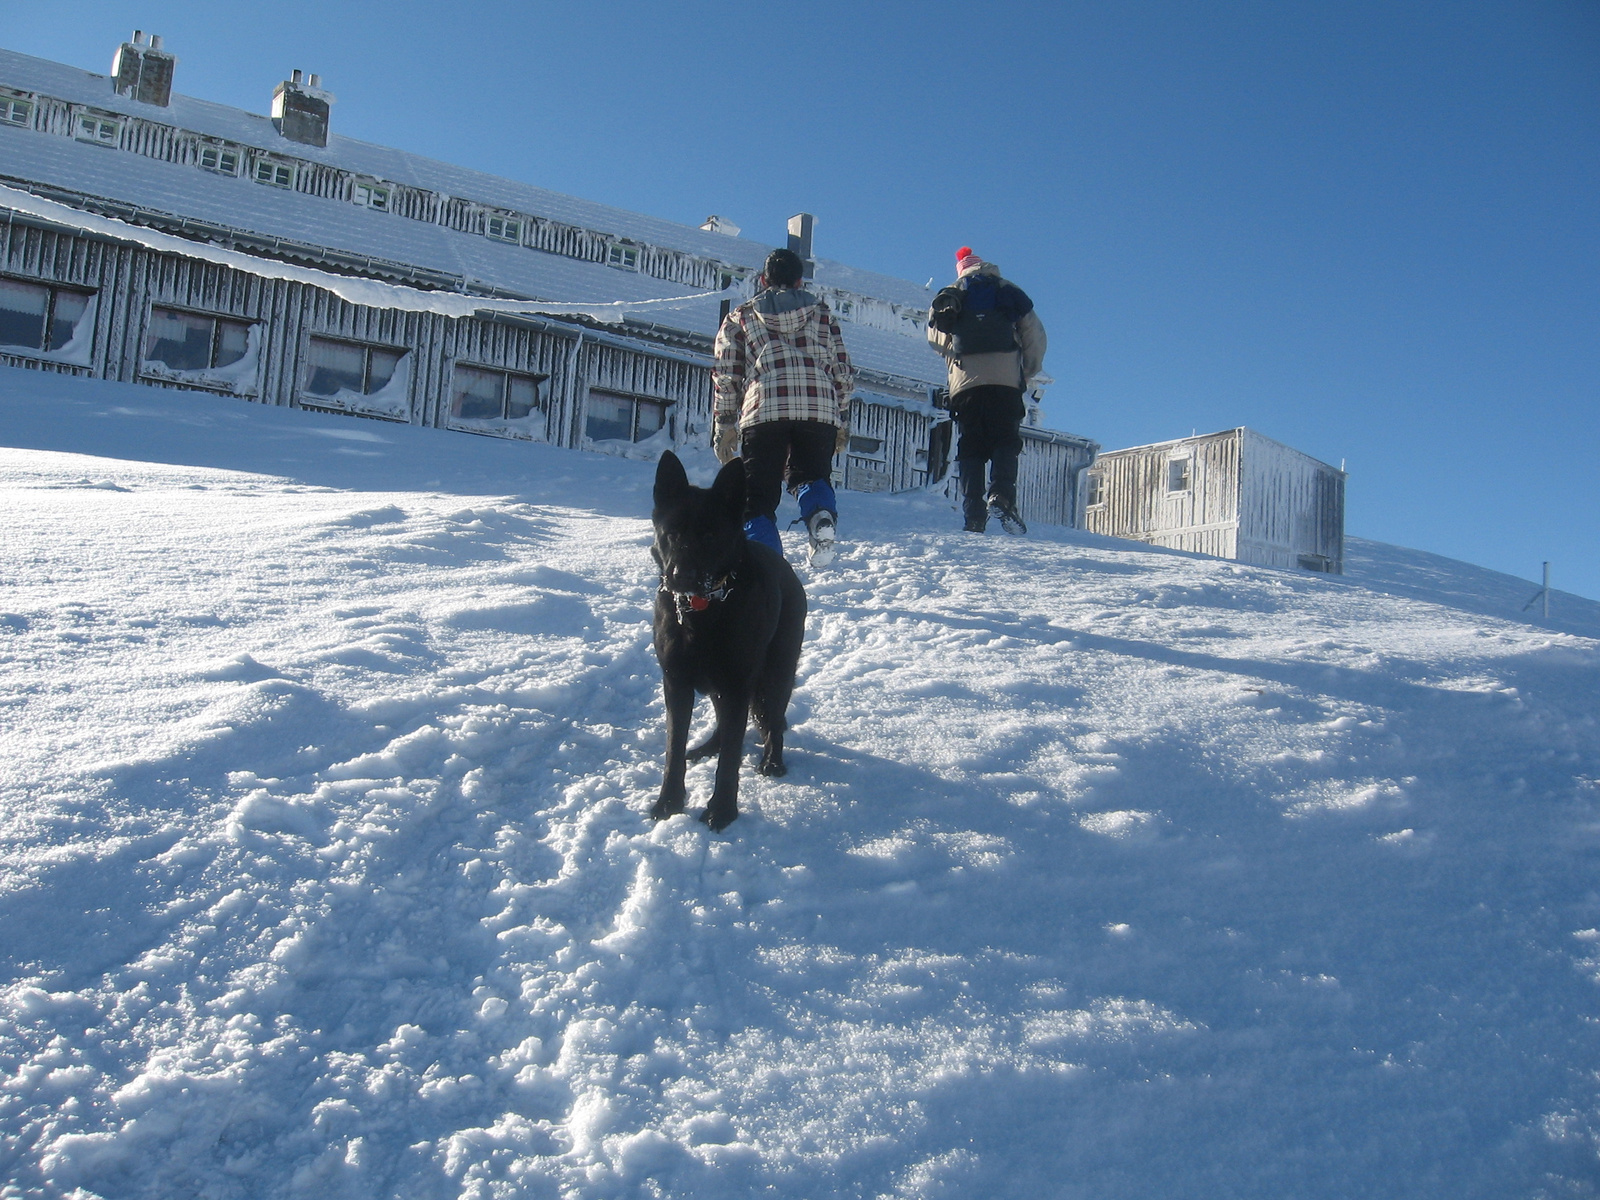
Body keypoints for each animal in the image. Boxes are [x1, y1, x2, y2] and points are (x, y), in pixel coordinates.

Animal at [646, 451, 806, 838]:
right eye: (672, 533)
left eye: (709, 535)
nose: (681, 577)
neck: (703, 611)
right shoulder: (677, 684)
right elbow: (673, 749)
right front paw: (669, 802)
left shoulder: (736, 684)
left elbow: (732, 758)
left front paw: (721, 810)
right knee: (727, 724)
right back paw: (707, 748)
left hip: (773, 677)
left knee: (773, 722)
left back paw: (772, 761)